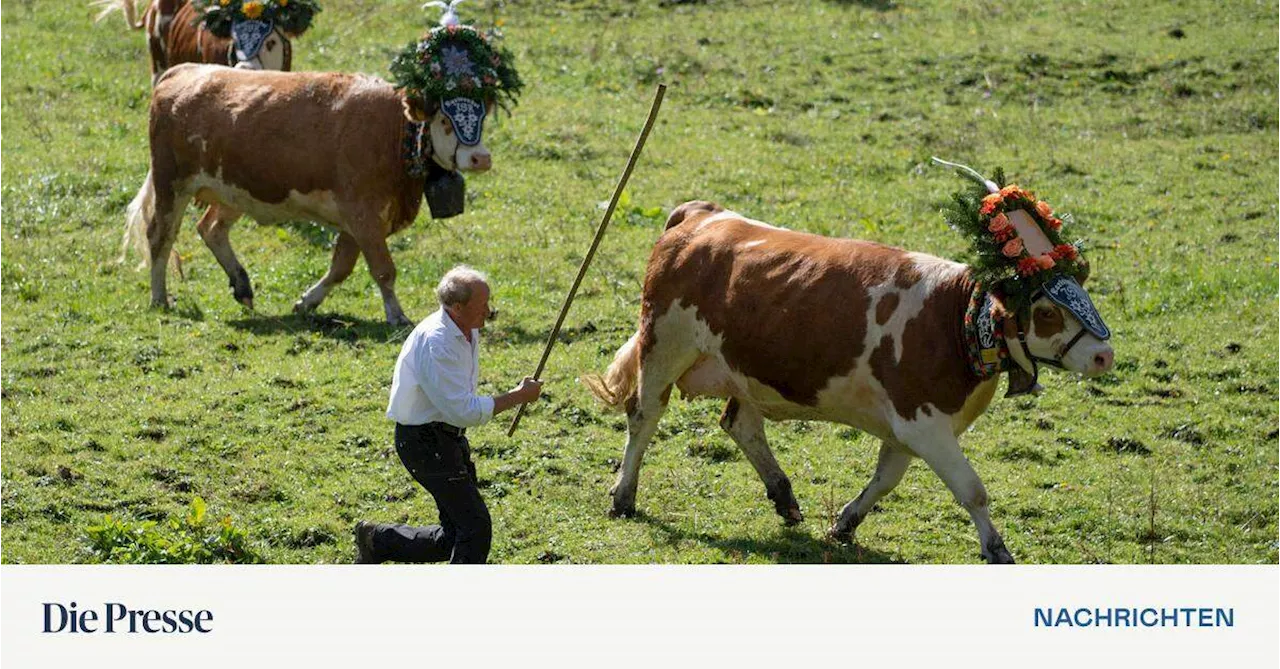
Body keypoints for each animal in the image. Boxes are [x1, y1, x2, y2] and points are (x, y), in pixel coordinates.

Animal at [123, 64, 494, 326]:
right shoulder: (363, 212)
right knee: (160, 235)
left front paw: (308, 301)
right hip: (171, 182)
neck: (394, 130)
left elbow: (341, 267)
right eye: (445, 120)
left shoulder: (356, 219)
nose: (481, 158)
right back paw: (160, 298)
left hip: (234, 190)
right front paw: (396, 315)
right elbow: (383, 269)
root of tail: (184, 70)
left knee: (211, 228)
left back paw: (242, 285)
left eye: (483, 118)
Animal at [586, 200, 1116, 565]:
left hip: (745, 367)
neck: (958, 319)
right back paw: (623, 496)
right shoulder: (924, 421)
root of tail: (702, 216)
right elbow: (972, 490)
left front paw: (845, 523)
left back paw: (784, 496)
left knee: (740, 424)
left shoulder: (907, 426)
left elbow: (886, 480)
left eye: (1084, 295)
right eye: (1046, 312)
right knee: (644, 415)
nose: (1104, 354)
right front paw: (997, 548)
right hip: (664, 345)